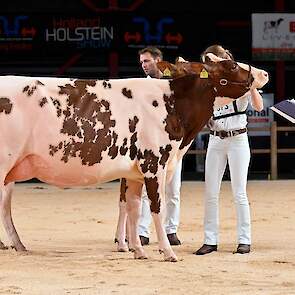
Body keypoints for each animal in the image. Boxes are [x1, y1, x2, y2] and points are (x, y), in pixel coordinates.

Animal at [0, 53, 270, 262]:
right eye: (232, 65)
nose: (264, 73)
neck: (172, 104)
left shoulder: (134, 172)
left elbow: (132, 207)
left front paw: (138, 251)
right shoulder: (154, 164)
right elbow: (156, 207)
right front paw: (168, 252)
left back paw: (18, 245)